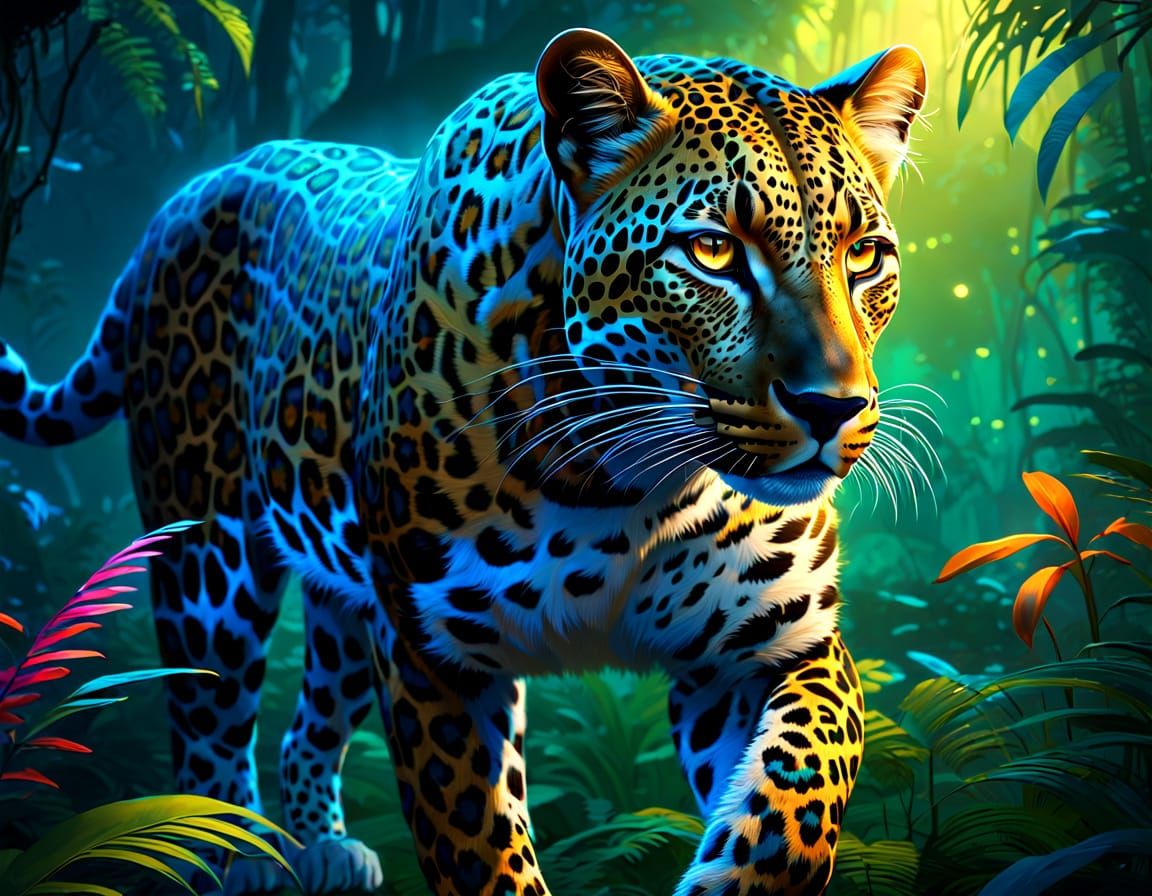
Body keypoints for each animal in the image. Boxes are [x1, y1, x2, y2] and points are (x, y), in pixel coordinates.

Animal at [0, 27, 926, 896]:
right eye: (713, 252)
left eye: (864, 254)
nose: (831, 407)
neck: (626, 477)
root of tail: (186, 195)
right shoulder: (434, 653)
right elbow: (478, 846)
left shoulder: (766, 644)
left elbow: (798, 796)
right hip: (210, 559)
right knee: (208, 722)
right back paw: (239, 860)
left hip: (346, 591)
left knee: (306, 724)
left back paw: (323, 848)